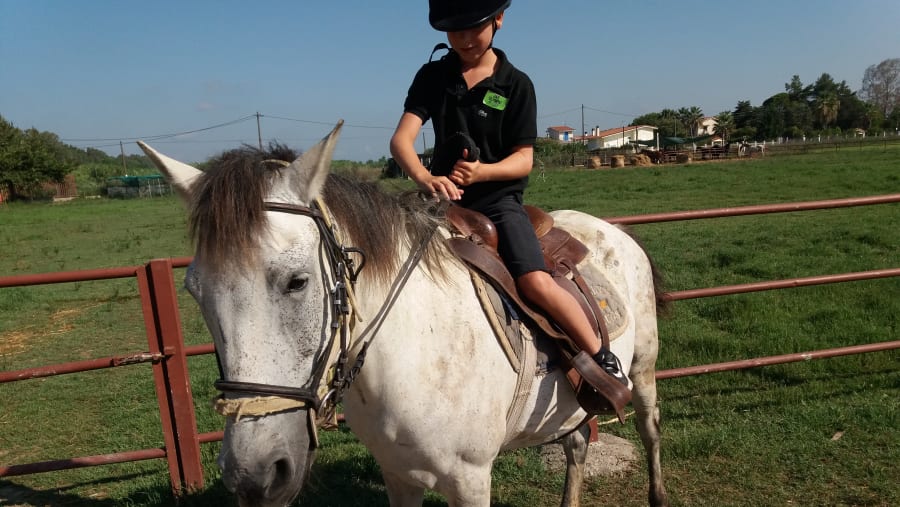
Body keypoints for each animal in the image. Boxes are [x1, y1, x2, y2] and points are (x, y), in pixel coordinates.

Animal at [139, 122, 669, 507]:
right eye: (195, 291)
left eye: (297, 281)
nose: (253, 475)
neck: (411, 351)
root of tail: (613, 229)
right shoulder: (398, 476)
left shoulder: (471, 481)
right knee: (576, 445)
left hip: (643, 371)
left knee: (650, 427)